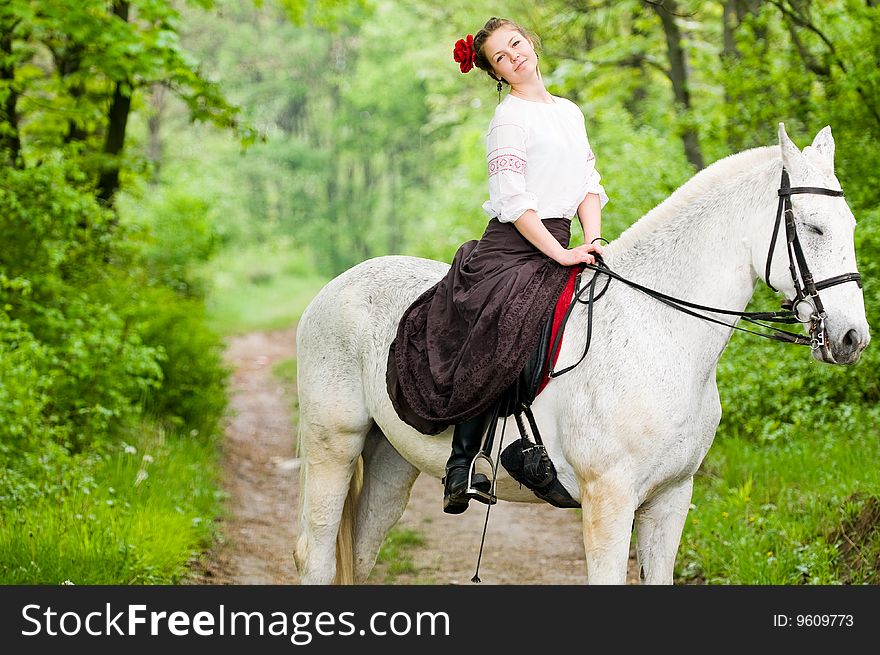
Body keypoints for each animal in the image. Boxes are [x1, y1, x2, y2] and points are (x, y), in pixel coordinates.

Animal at [294, 125, 868, 588]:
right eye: (814, 227)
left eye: (850, 225)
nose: (852, 338)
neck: (657, 328)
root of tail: (334, 288)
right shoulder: (608, 501)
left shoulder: (670, 500)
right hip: (334, 444)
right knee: (315, 555)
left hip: (392, 460)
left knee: (360, 554)